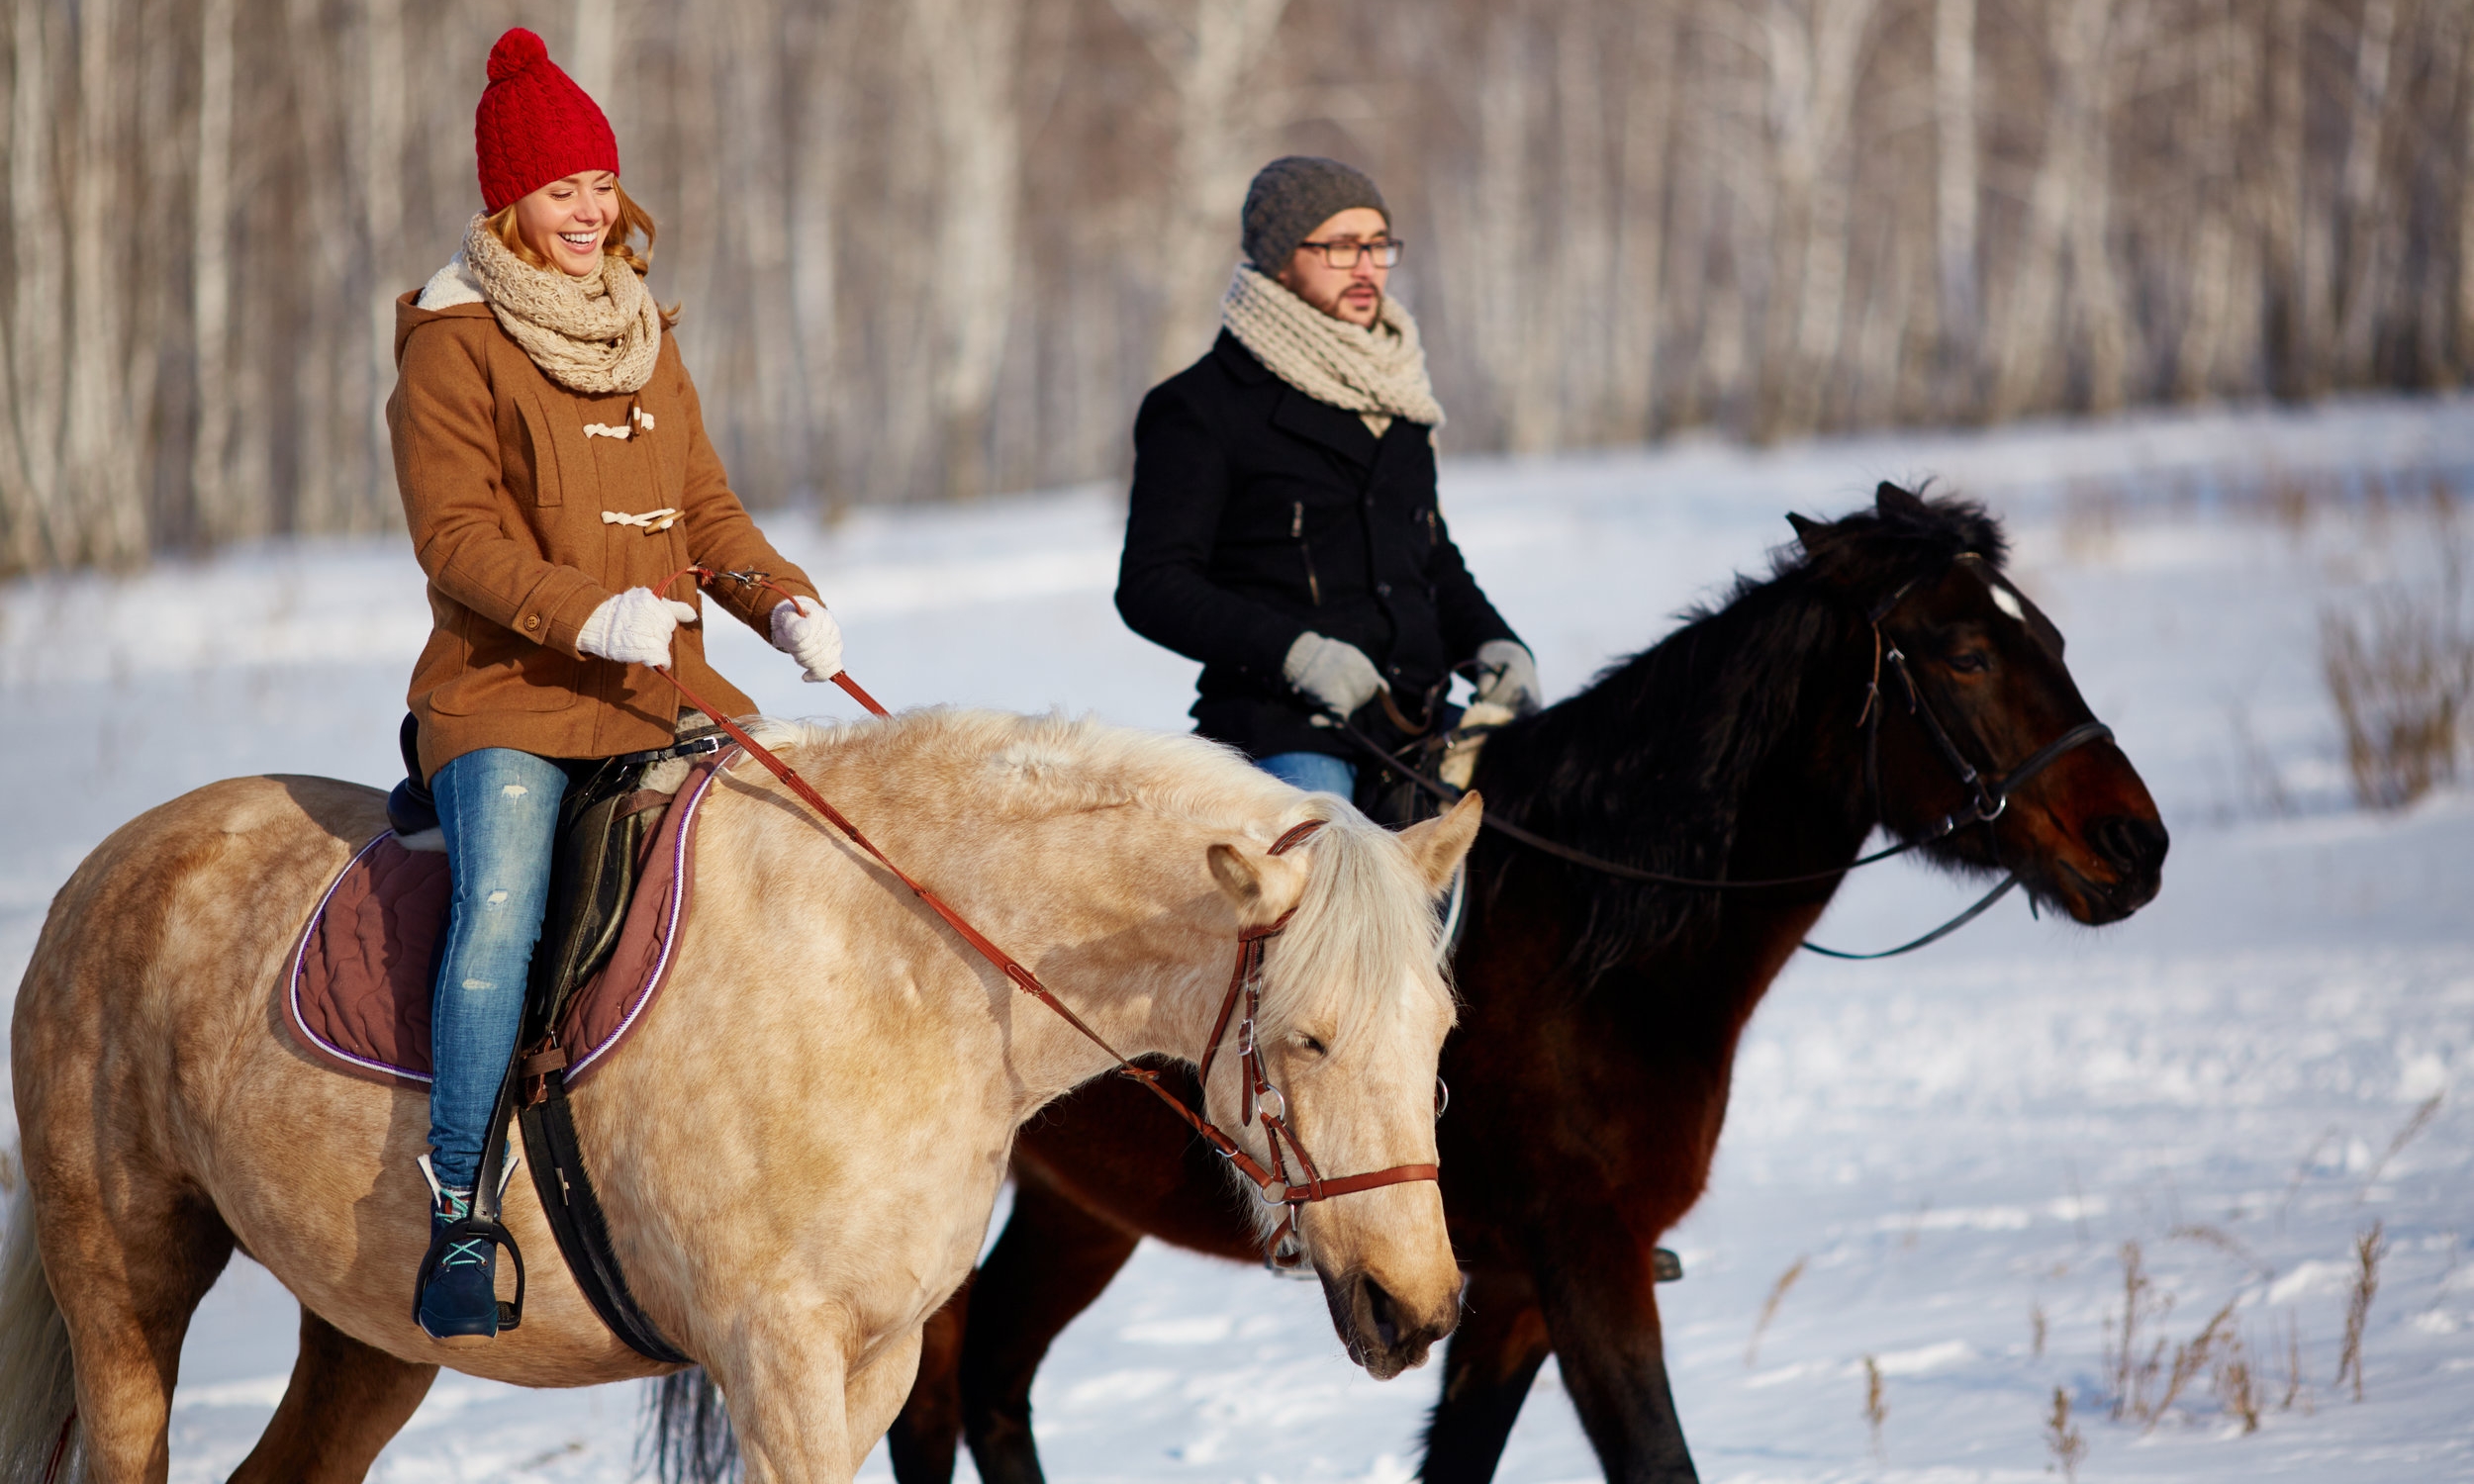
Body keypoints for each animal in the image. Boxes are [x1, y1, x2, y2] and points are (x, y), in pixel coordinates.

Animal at [0, 707, 1475, 1484]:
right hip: (123, 1282)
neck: (904, 971)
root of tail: (108, 871)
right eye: (1308, 1040)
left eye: (1443, 1039)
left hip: (372, 1338)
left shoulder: (873, 1363)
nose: (1416, 1306)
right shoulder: (776, 1362)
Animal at [866, 490, 2167, 1484]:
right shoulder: (1582, 1263)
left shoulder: (1502, 1289)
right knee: (934, 1401)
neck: (1588, 945)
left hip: (1083, 1209)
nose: (2135, 845)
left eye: (2049, 638)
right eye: (1964, 654)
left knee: (993, 1386)